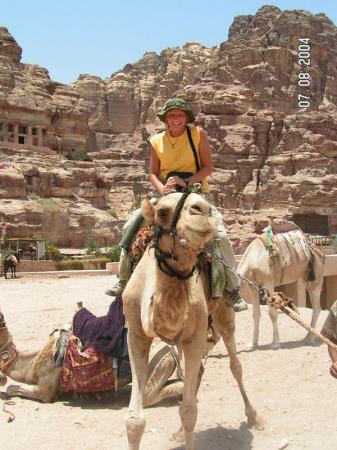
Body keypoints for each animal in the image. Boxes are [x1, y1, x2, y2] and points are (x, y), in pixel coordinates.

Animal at [122, 192, 262, 450]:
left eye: (207, 205)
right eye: (162, 212)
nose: (203, 210)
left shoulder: (194, 337)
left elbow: (189, 412)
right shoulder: (136, 335)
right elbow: (134, 420)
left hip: (224, 314)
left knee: (235, 365)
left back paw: (254, 417)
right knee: (198, 372)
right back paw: (178, 433)